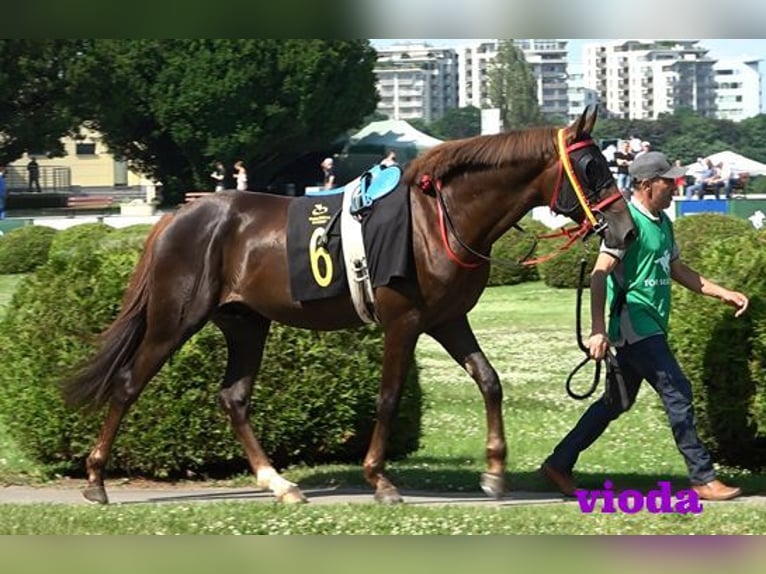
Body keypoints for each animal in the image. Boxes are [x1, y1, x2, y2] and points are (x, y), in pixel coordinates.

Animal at [61, 106, 636, 506]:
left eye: (612, 164)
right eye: (593, 166)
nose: (627, 231)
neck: (439, 220)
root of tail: (176, 216)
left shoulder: (448, 319)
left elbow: (489, 380)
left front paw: (494, 473)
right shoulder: (404, 321)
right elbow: (388, 398)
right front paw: (380, 480)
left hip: (246, 322)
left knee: (234, 397)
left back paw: (280, 484)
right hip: (175, 318)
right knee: (128, 384)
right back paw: (96, 479)